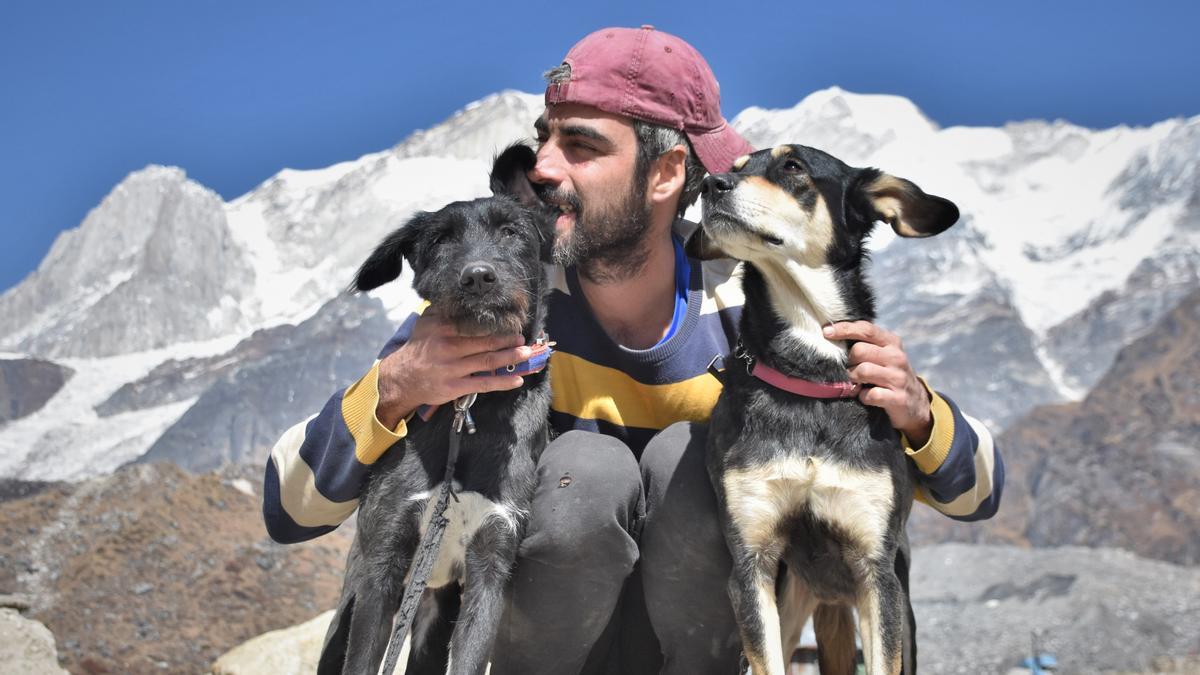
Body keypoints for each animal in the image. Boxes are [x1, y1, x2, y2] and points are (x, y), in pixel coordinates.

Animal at [321, 142, 559, 672]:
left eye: (512, 232)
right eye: (440, 242)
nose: (478, 277)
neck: (474, 407)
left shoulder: (491, 562)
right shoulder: (383, 565)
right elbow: (363, 660)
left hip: (434, 617)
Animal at [700, 144, 955, 672]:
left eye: (792, 166)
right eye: (733, 168)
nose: (710, 185)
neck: (809, 374)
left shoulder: (877, 573)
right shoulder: (752, 565)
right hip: (792, 601)